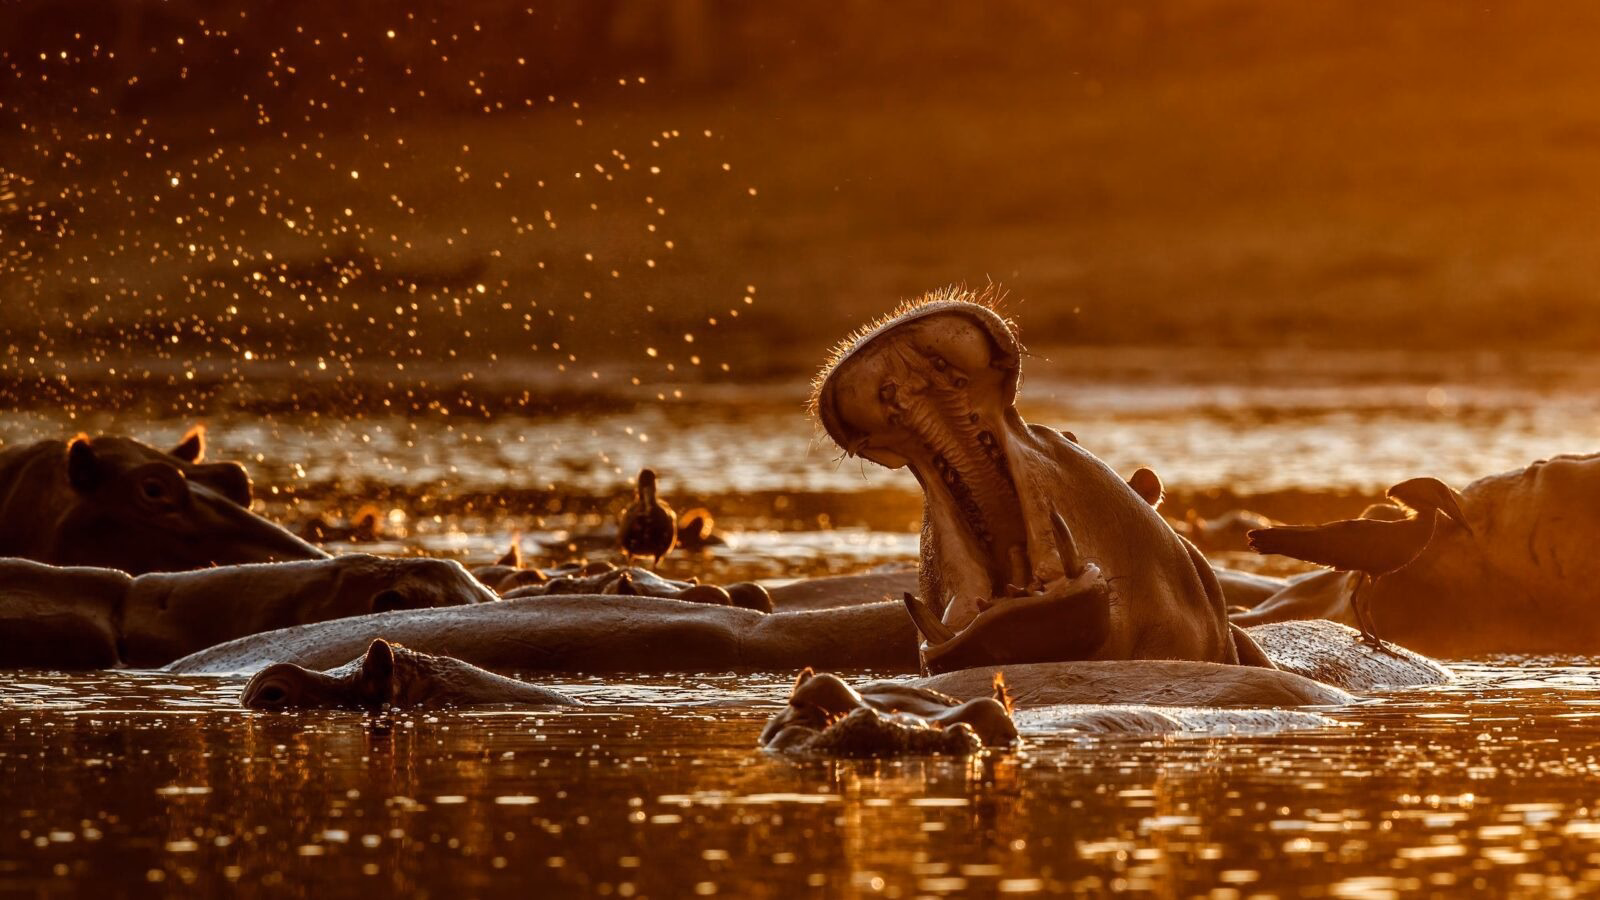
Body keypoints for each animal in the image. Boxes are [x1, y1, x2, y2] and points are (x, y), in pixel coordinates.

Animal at [1235, 452, 1600, 656]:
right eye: (1442, 493)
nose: (1465, 523)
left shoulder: (1368, 570)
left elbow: (1356, 601)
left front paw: (1371, 640)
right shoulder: (1376, 570)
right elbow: (1363, 603)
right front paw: (1379, 643)